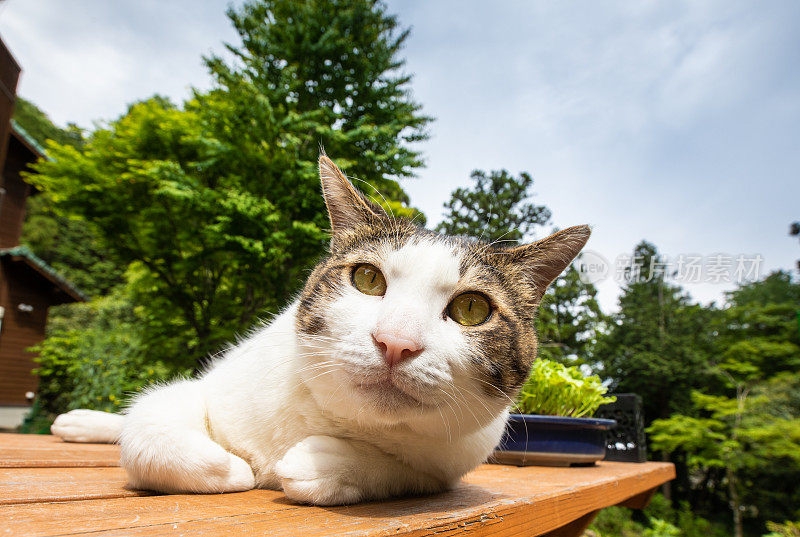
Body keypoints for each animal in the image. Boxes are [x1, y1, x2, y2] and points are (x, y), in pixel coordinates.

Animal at [48, 154, 588, 502]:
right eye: (368, 279)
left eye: (472, 309)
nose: (396, 343)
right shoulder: (207, 391)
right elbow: (150, 429)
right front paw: (230, 467)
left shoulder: (451, 465)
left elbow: (405, 474)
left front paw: (323, 464)